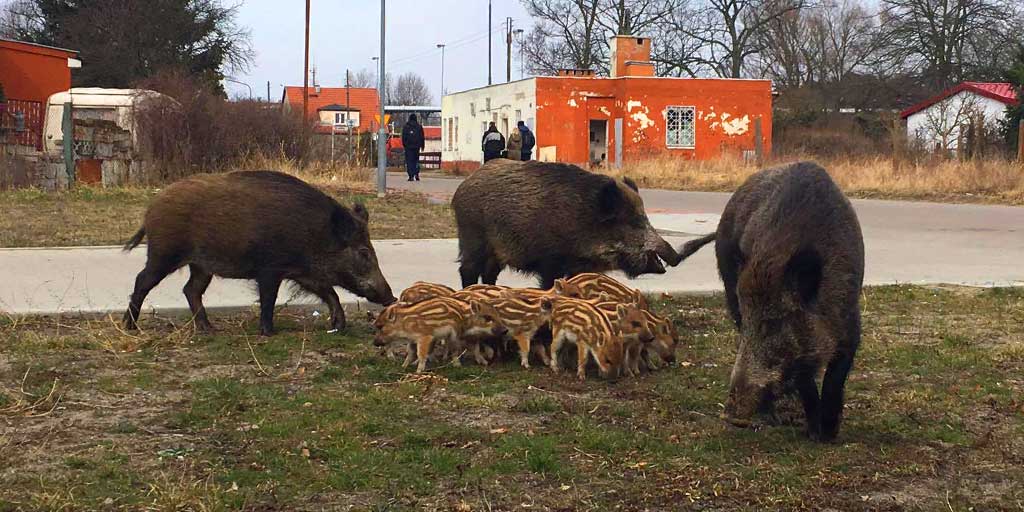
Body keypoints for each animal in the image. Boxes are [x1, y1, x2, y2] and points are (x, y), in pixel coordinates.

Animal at [122, 170, 397, 336]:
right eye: (364, 252)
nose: (391, 297)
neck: (316, 235)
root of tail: (150, 210)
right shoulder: (270, 269)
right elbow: (268, 299)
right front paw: (269, 332)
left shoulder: (303, 272)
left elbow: (329, 292)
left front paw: (339, 326)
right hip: (163, 254)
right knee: (142, 280)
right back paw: (130, 326)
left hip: (201, 266)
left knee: (191, 289)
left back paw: (209, 329)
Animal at [451, 160, 682, 289]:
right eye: (633, 221)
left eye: (646, 217)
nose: (676, 257)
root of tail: (461, 189)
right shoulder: (550, 261)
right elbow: (548, 284)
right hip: (473, 236)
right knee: (467, 270)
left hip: (497, 251)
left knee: (489, 273)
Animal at [676, 162, 864, 442]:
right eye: (749, 322)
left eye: (773, 323)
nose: (731, 416)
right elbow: (805, 382)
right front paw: (814, 432)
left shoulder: (850, 326)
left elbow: (834, 379)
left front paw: (829, 435)